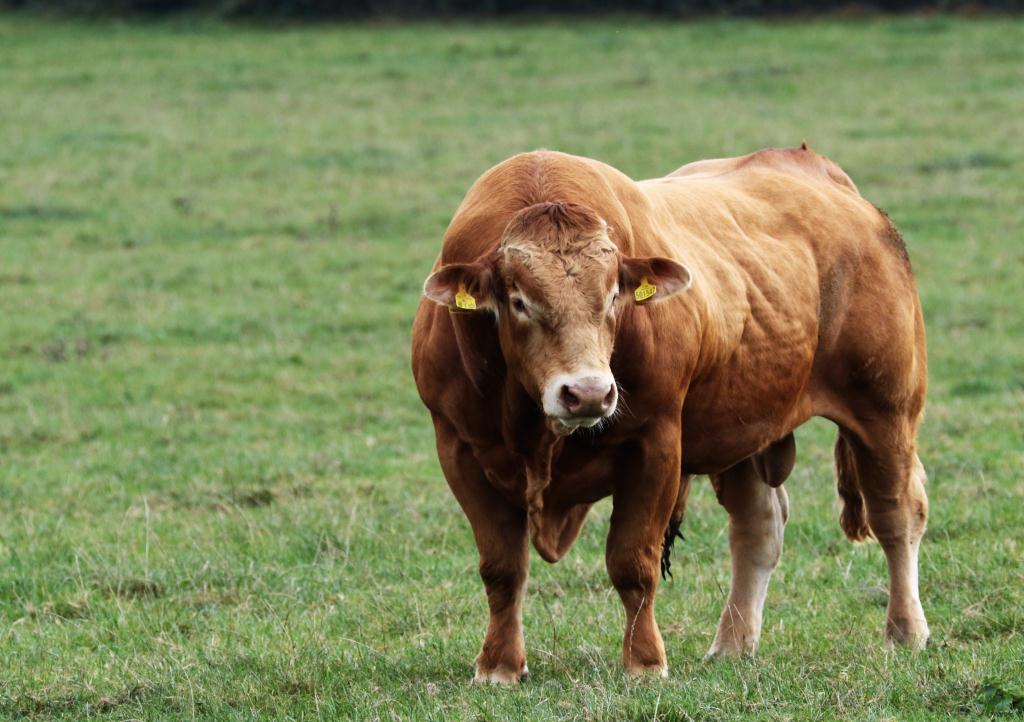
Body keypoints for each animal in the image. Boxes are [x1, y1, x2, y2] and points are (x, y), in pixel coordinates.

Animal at [411, 145, 929, 683]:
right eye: (518, 301)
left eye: (613, 296)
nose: (588, 394)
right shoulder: (459, 449)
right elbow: (502, 568)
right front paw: (498, 665)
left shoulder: (655, 444)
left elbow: (631, 562)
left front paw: (643, 661)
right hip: (738, 430)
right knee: (759, 528)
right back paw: (734, 641)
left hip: (885, 410)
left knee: (897, 514)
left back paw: (905, 630)